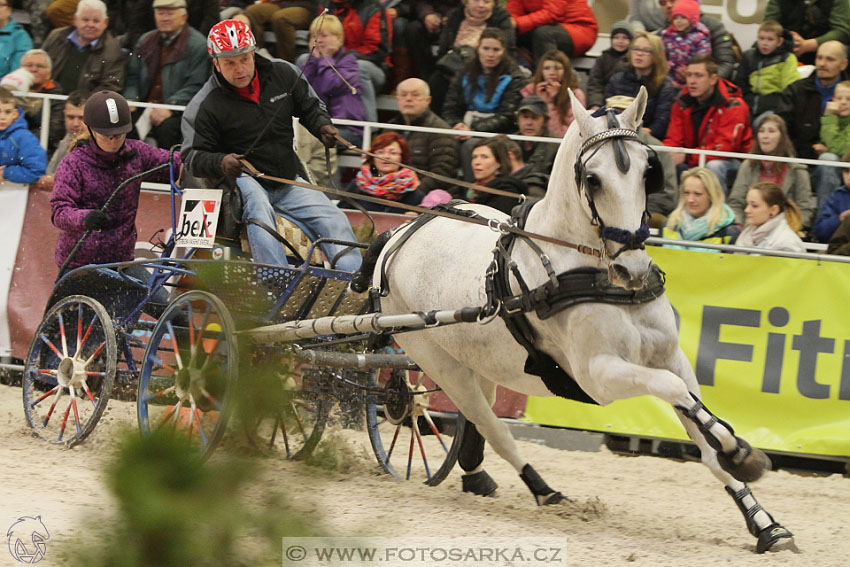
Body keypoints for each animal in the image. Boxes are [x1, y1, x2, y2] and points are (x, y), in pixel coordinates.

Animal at [372, 89, 796, 556]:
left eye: (647, 171)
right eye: (592, 179)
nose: (634, 269)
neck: (587, 271)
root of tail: (401, 233)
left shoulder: (671, 356)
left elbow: (700, 429)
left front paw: (763, 517)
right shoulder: (599, 376)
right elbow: (674, 391)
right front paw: (741, 452)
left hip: (479, 361)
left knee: (476, 425)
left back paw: (477, 475)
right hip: (440, 363)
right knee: (489, 425)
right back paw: (543, 490)